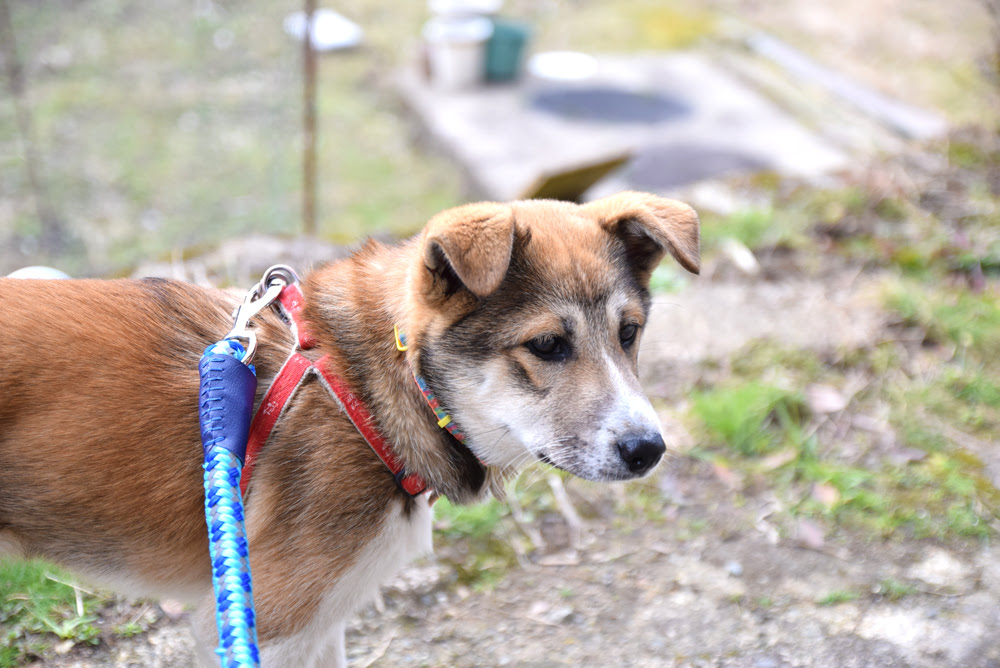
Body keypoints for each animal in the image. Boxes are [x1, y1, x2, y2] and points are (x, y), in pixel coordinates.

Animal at [0, 190, 700, 664]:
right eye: (548, 345)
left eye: (629, 332)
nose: (649, 450)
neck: (371, 390)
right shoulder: (271, 619)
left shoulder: (316, 623)